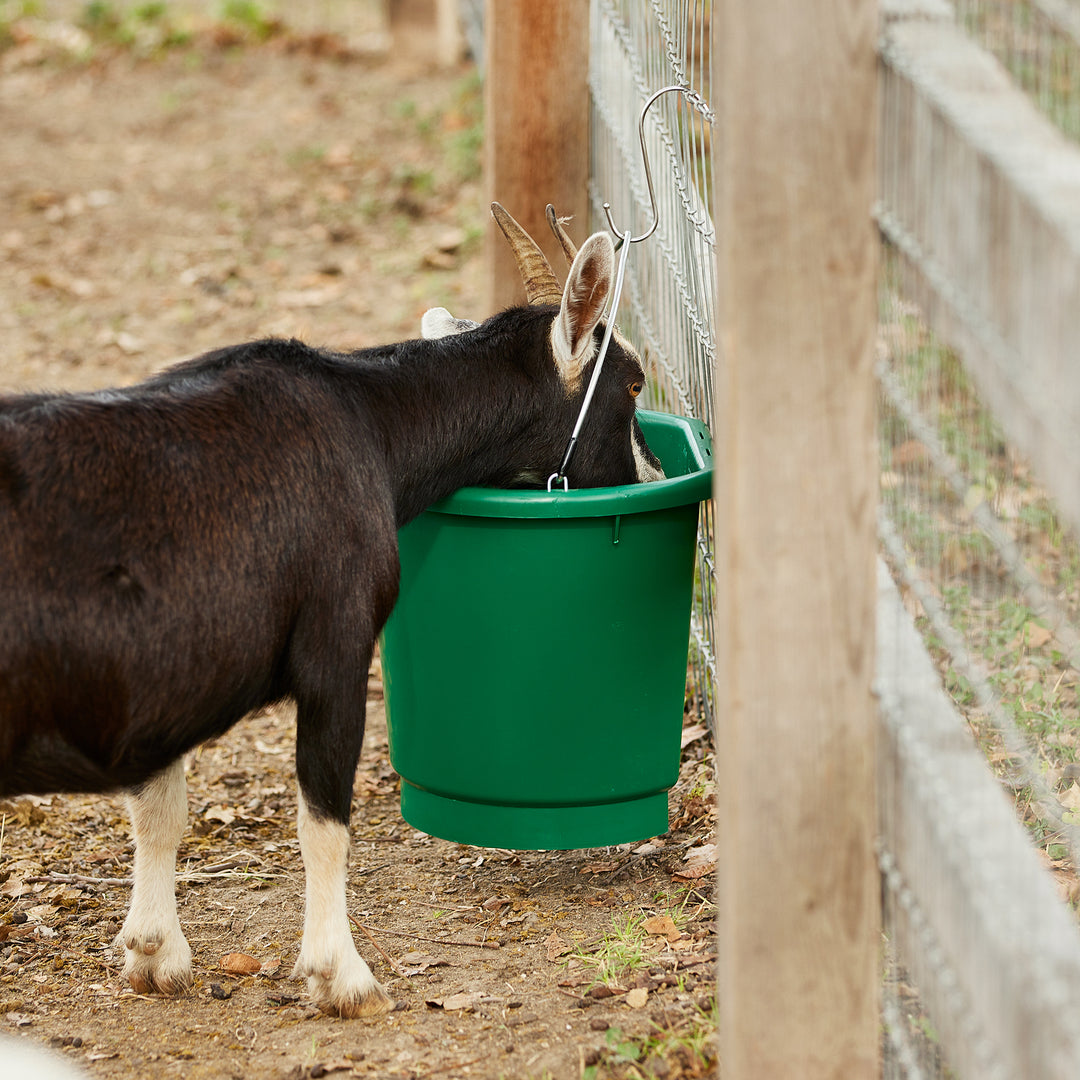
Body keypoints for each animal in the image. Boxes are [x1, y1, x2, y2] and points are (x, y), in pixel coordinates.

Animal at [0, 204, 660, 1019]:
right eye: (632, 382)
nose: (657, 477)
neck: (369, 422)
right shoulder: (335, 644)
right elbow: (324, 821)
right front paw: (341, 975)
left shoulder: (171, 673)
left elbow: (159, 807)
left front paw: (155, 955)